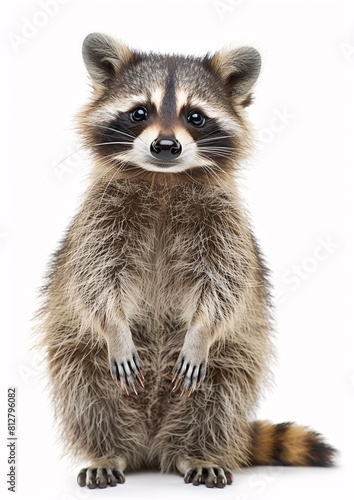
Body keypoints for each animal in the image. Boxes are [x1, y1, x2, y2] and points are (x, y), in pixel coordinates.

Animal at [36, 32, 338, 488]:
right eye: (139, 112)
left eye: (195, 117)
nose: (166, 146)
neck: (164, 179)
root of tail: (150, 444)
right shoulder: (98, 223)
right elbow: (93, 280)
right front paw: (115, 327)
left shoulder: (225, 227)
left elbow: (226, 285)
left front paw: (201, 332)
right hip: (78, 354)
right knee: (88, 395)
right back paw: (109, 450)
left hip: (233, 359)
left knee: (217, 398)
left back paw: (194, 451)